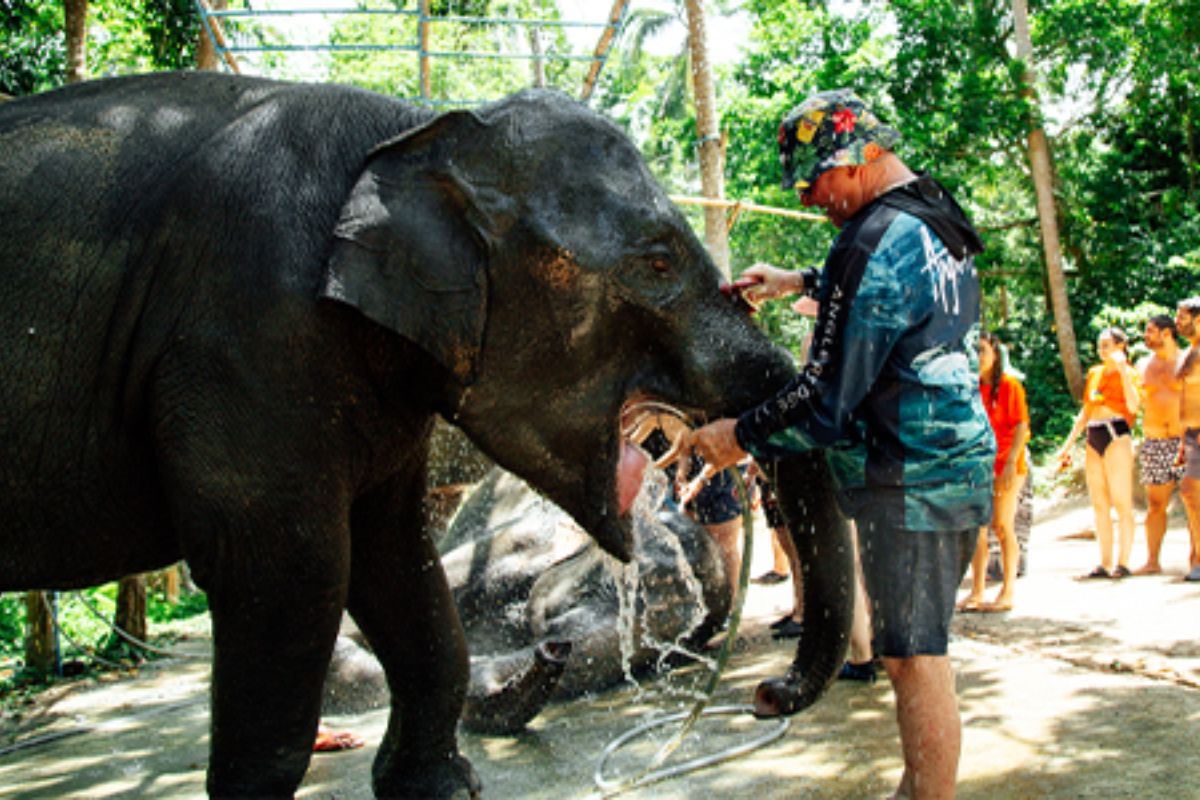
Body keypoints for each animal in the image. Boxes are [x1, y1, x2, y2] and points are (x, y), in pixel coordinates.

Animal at [0, 71, 854, 796]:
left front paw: (437, 787)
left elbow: (391, 554)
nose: (768, 695)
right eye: (657, 262)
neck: (417, 127)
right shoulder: (243, 336)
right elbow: (291, 570)